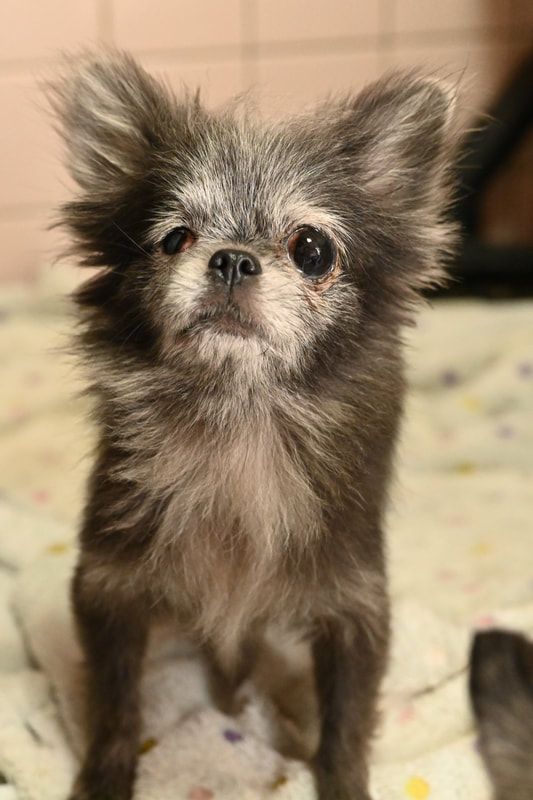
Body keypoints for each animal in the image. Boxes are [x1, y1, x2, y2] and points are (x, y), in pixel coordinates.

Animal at [51, 53, 458, 796]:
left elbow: (346, 723)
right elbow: (115, 705)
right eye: (174, 238)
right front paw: (105, 777)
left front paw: (342, 783)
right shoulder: (108, 591)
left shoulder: (354, 608)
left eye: (311, 250)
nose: (233, 257)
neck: (239, 416)